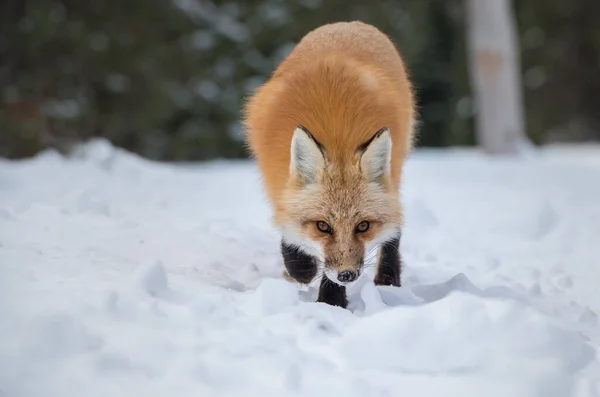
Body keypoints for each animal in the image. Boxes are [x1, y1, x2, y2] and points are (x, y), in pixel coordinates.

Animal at [241, 20, 414, 306]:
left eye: (363, 226)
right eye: (322, 226)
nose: (347, 275)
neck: (337, 136)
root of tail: (349, 24)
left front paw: (331, 302)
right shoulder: (276, 178)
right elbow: (289, 224)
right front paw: (301, 268)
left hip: (397, 162)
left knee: (395, 224)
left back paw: (388, 279)